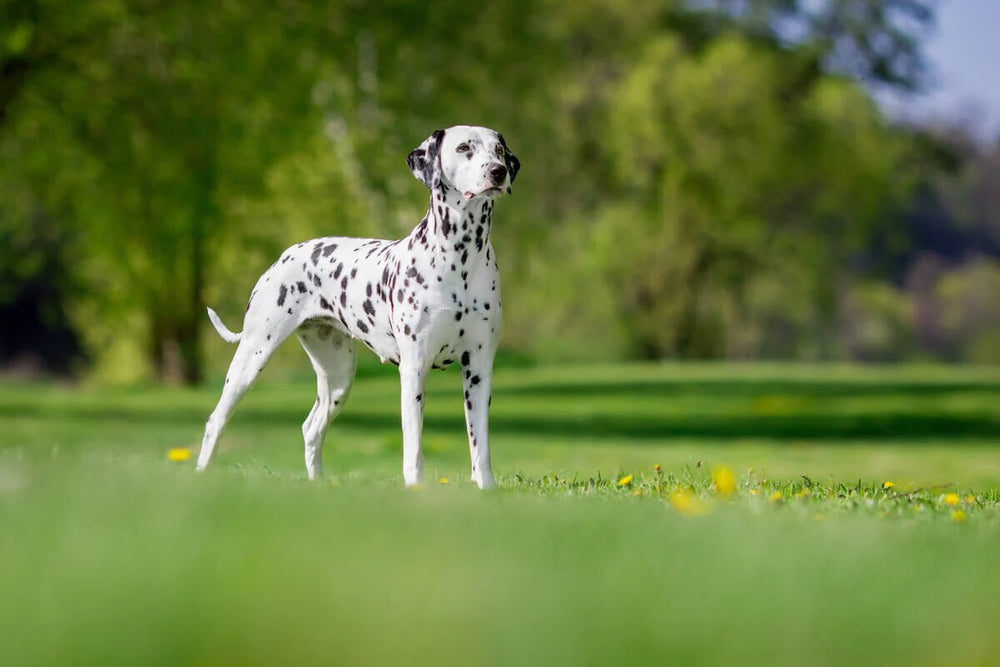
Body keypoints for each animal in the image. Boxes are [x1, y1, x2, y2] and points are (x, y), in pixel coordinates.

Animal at [197, 126, 524, 490]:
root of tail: (286, 255)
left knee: (312, 428)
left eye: (498, 150)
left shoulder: (478, 369)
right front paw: (415, 489)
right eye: (464, 147)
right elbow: (413, 449)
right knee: (215, 420)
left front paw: (486, 490)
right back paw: (201, 475)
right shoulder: (414, 369)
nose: (497, 171)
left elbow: (480, 447)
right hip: (251, 359)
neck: (461, 257)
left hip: (338, 377)